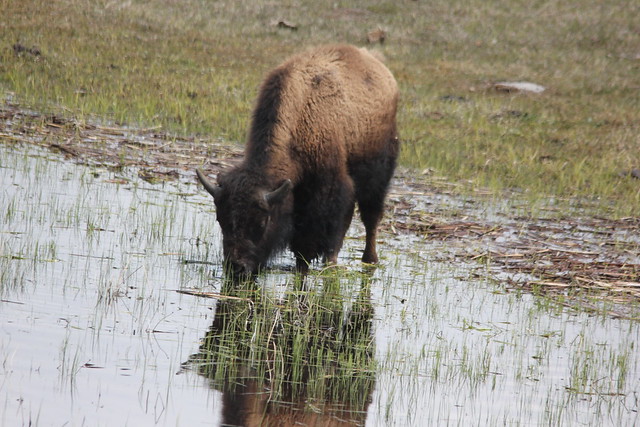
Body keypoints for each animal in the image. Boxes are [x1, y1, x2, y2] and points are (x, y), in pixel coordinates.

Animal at [199, 44, 400, 278]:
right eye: (220, 219)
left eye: (262, 222)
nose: (236, 267)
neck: (301, 116)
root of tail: (378, 65)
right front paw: (302, 262)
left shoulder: (330, 184)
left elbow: (331, 224)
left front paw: (322, 260)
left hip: (378, 171)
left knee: (370, 216)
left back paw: (369, 259)